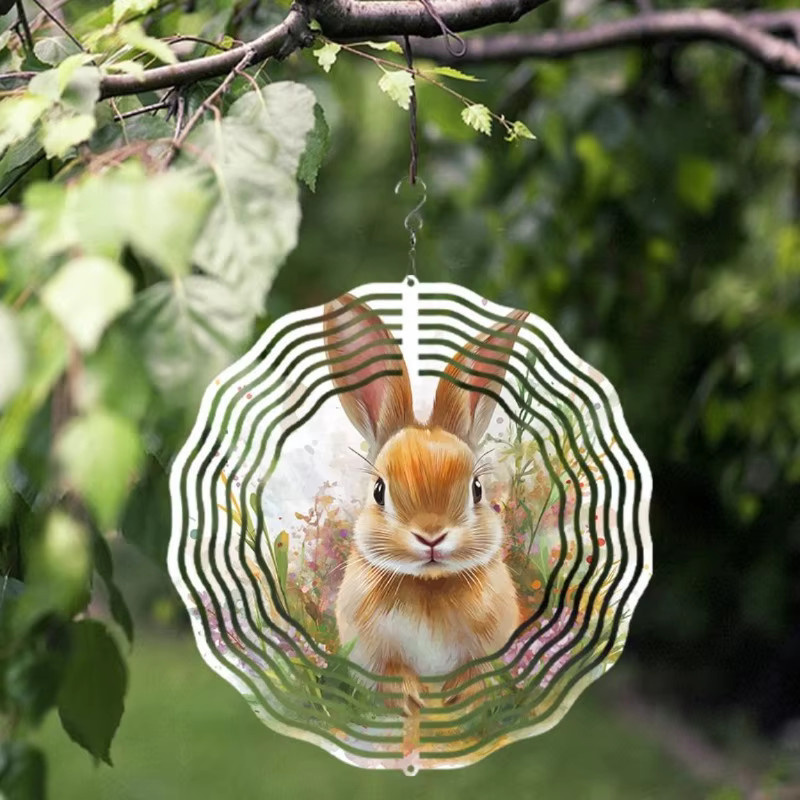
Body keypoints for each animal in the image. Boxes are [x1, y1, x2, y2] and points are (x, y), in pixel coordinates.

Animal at [323, 294, 527, 710]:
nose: (431, 536)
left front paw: (455, 698)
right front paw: (412, 699)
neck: (428, 585)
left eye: (476, 489)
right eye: (379, 491)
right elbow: (392, 679)